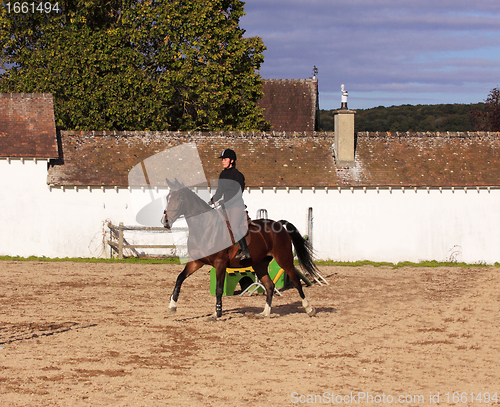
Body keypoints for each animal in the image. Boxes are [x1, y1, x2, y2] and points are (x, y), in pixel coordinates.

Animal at [161, 180, 316, 320]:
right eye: (167, 198)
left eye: (177, 198)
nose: (165, 221)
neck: (205, 227)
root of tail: (278, 224)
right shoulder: (196, 261)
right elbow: (179, 279)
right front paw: (172, 306)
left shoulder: (220, 263)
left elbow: (218, 289)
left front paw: (217, 313)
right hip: (259, 265)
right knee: (269, 286)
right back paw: (265, 313)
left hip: (284, 260)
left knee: (296, 281)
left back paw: (309, 309)